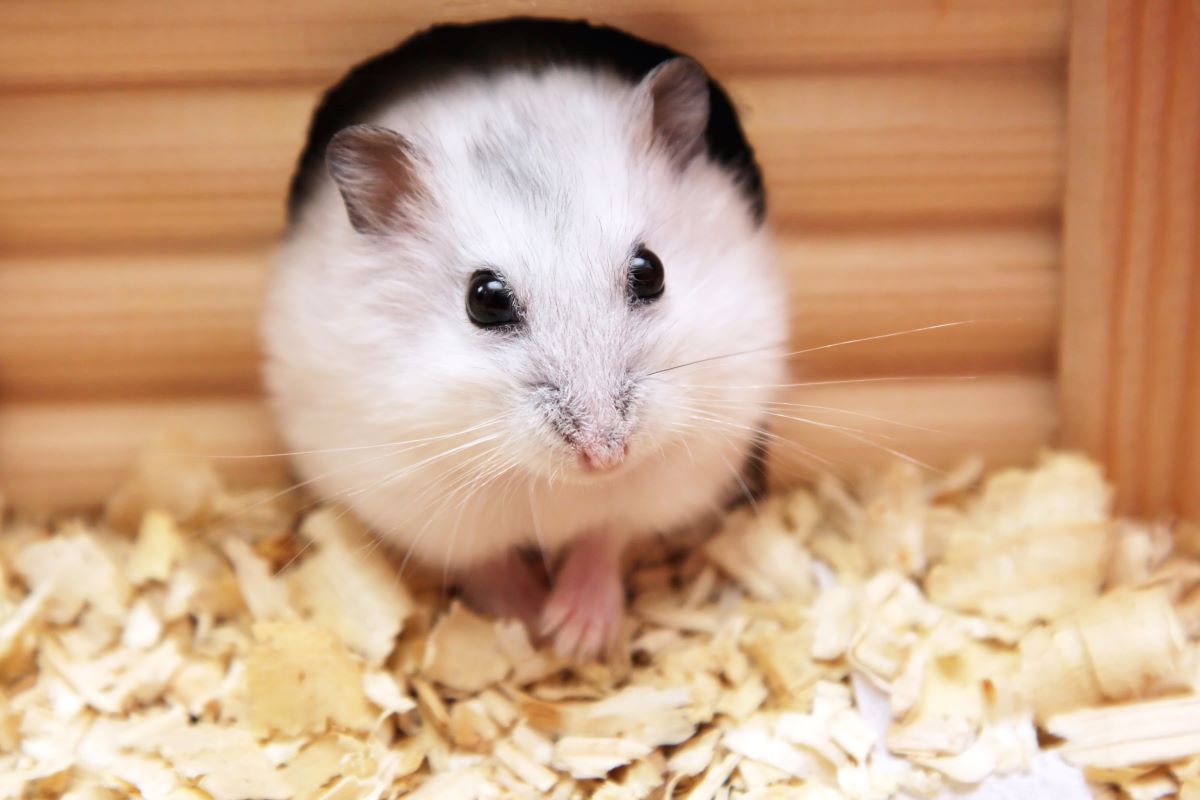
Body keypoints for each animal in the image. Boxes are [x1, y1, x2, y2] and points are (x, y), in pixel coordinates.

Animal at [262, 19, 789, 658]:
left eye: (651, 271)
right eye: (485, 299)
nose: (605, 456)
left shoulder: (663, 479)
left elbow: (605, 535)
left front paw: (573, 636)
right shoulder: (422, 501)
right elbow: (487, 565)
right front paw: (527, 622)